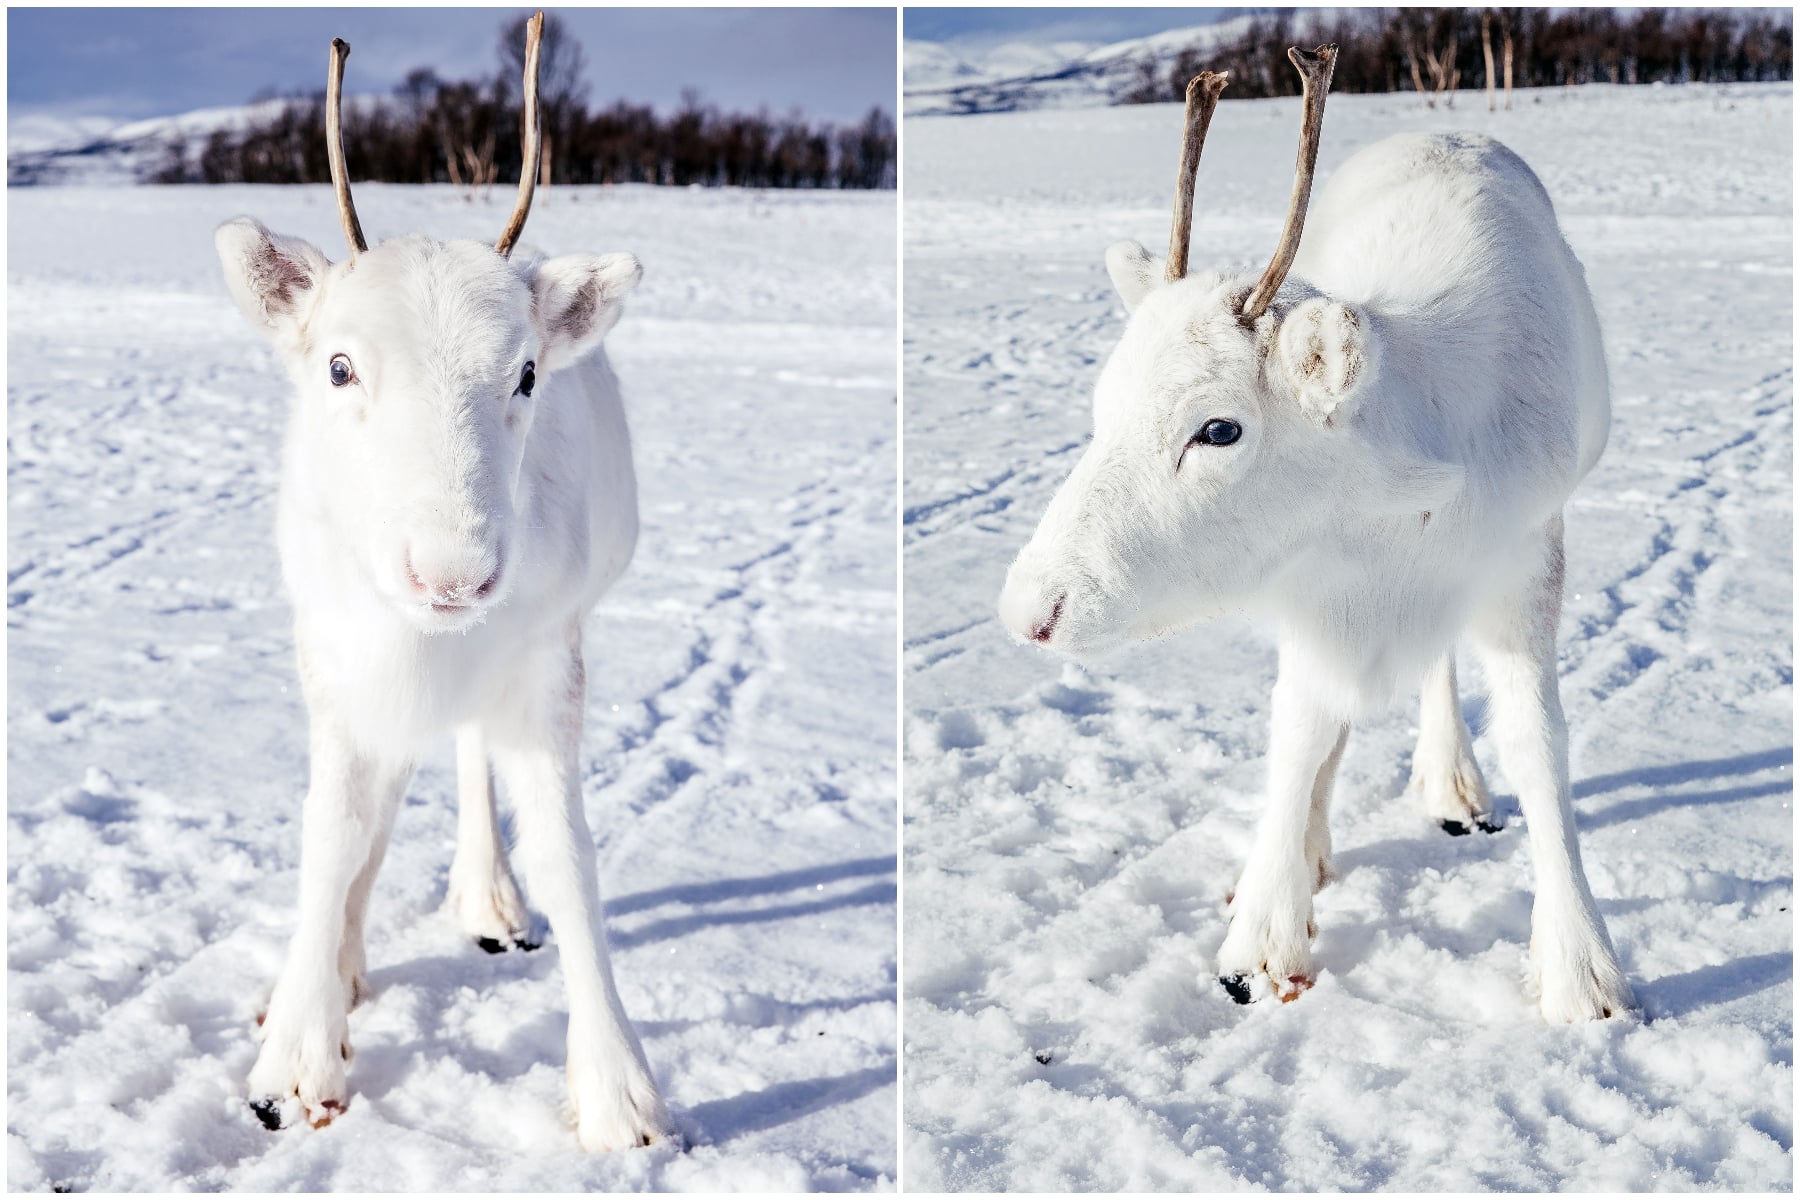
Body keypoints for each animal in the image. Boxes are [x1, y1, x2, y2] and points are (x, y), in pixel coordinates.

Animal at [216, 16, 676, 1144]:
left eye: (526, 373)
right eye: (339, 365)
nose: (455, 573)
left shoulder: (547, 658)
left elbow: (566, 852)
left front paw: (619, 1092)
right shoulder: (336, 660)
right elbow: (335, 831)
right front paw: (297, 1051)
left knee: (468, 763)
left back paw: (486, 900)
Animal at [1000, 47, 1634, 1021]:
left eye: (1219, 429)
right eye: (1103, 405)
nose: (1033, 610)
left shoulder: (1527, 554)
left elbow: (1539, 745)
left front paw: (1581, 969)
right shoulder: (1310, 588)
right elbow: (1300, 734)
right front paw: (1263, 933)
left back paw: (1450, 782)